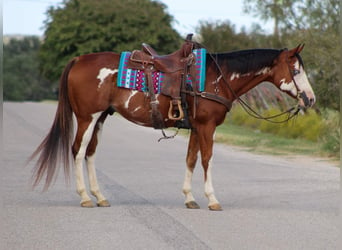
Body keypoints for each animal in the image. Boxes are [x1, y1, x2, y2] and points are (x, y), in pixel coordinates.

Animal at [30, 39, 316, 211]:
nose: (310, 99)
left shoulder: (197, 127)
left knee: (90, 153)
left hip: (100, 117)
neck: (217, 77)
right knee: (78, 152)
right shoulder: (207, 126)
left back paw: (100, 197)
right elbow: (207, 160)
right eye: (296, 71)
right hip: (87, 117)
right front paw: (212, 199)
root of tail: (79, 59)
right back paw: (85, 197)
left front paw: (190, 198)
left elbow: (191, 159)